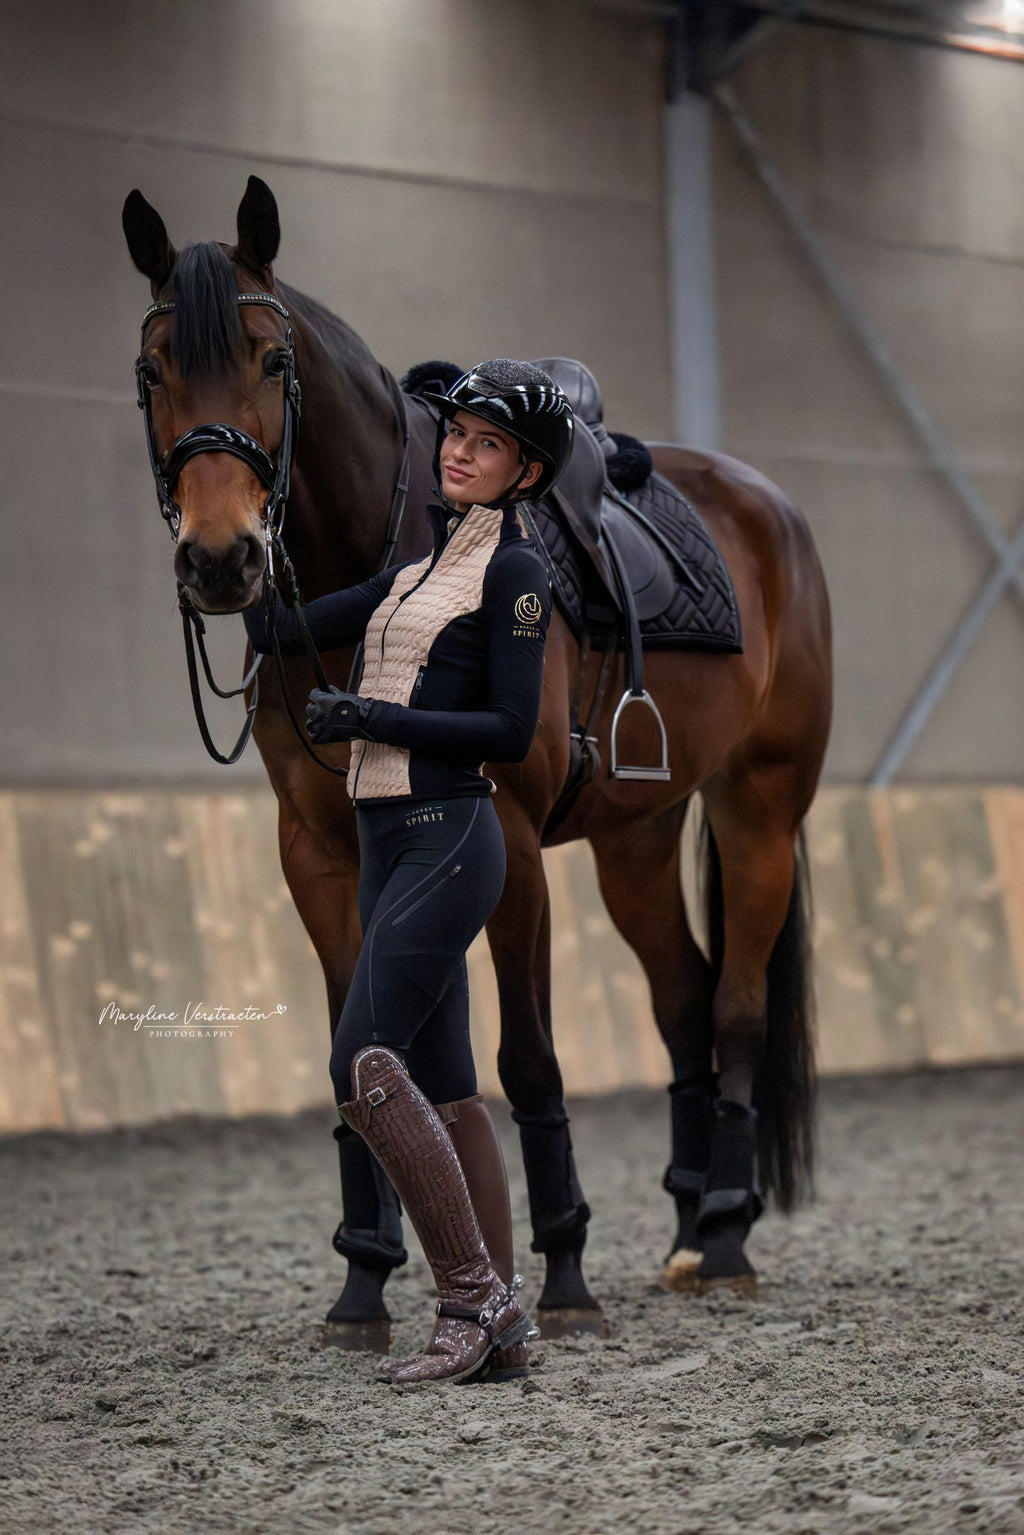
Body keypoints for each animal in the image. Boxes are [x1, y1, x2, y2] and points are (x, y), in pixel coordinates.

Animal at [122, 176, 832, 1343]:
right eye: (152, 370)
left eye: (271, 362)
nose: (222, 559)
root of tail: (766, 507)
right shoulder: (318, 851)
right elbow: (358, 1044)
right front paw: (363, 1281)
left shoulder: (508, 839)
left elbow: (527, 1054)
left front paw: (565, 1272)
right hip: (638, 841)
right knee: (682, 1002)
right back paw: (688, 1227)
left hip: (758, 810)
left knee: (732, 1008)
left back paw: (726, 1236)